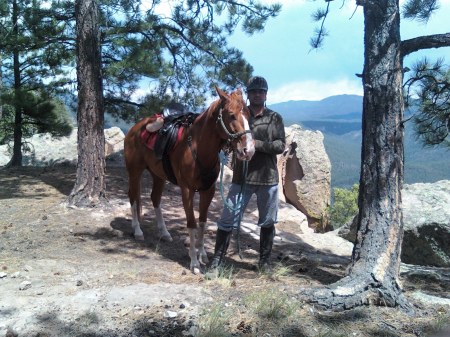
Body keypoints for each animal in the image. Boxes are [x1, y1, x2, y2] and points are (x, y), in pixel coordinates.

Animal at [123, 86, 255, 272]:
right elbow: (192, 223)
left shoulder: (208, 191)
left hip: (158, 175)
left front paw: (203, 255)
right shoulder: (187, 191)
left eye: (249, 115)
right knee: (134, 197)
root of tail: (136, 128)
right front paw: (194, 261)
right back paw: (137, 231)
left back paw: (164, 232)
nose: (248, 150)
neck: (198, 148)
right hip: (134, 172)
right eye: (231, 115)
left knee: (155, 199)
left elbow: (202, 222)